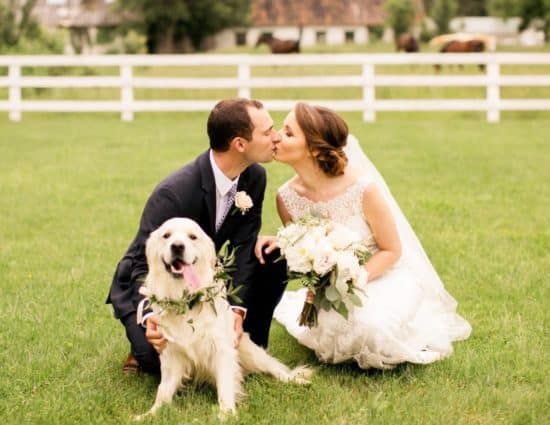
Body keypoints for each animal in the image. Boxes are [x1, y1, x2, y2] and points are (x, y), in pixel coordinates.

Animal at [136, 217, 312, 420]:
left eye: (192, 237)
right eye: (166, 235)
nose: (177, 246)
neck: (185, 300)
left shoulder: (222, 349)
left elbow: (225, 387)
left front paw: (226, 414)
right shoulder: (171, 353)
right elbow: (163, 391)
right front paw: (150, 414)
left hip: (250, 351)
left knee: (275, 367)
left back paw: (296, 379)